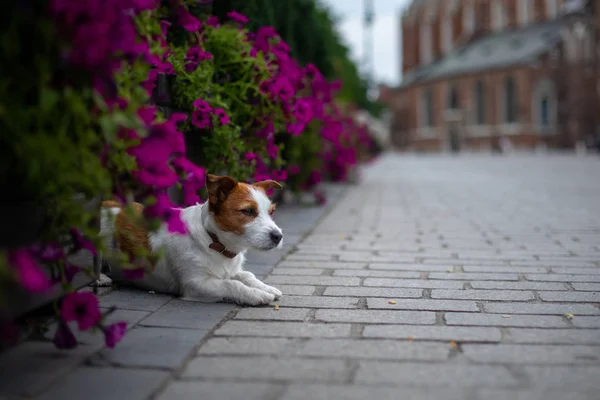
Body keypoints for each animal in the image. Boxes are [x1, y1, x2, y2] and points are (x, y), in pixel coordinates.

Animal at [97, 174, 284, 306]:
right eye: (248, 211)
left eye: (271, 212)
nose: (278, 236)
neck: (213, 240)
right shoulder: (195, 284)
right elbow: (232, 285)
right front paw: (257, 295)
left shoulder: (230, 271)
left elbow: (247, 275)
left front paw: (265, 287)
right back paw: (101, 278)